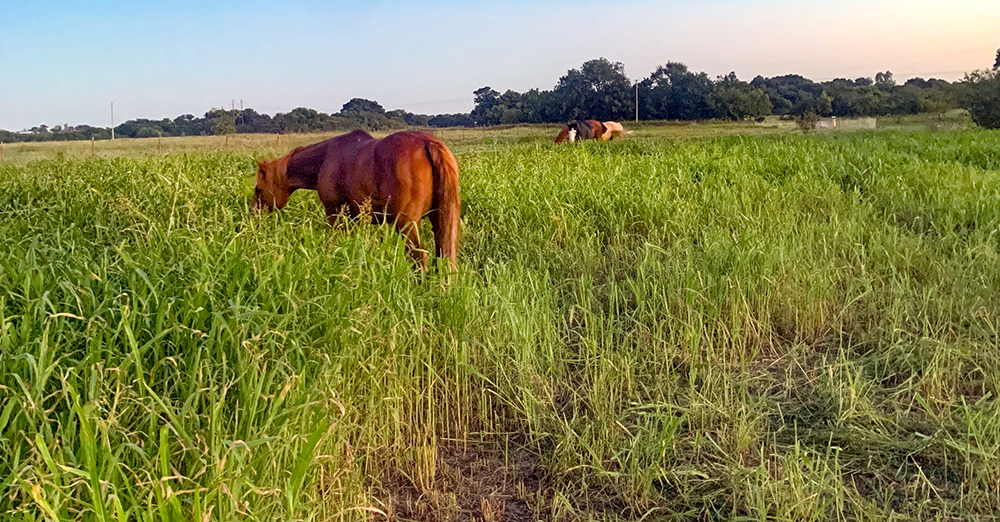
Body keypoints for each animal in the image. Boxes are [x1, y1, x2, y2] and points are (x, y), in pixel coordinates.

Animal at [256, 129, 462, 268]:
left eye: (258, 190)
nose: (254, 216)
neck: (324, 159)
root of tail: (428, 142)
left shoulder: (335, 215)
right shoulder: (355, 219)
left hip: (406, 223)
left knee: (419, 257)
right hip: (438, 219)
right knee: (442, 256)